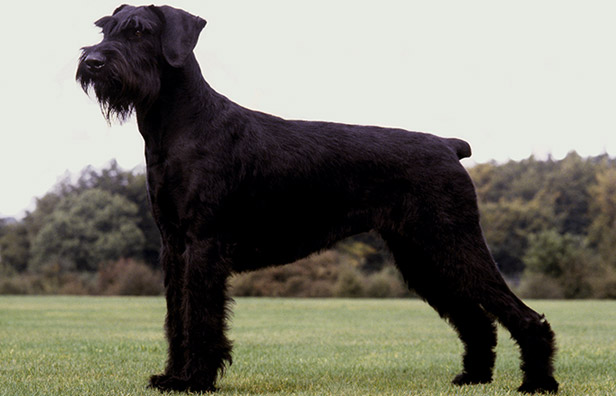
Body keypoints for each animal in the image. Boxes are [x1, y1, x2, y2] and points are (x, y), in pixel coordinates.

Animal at [76, 3, 560, 392]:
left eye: (140, 31)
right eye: (106, 28)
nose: (94, 61)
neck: (179, 126)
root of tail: (447, 145)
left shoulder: (204, 244)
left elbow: (201, 317)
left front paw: (194, 380)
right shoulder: (174, 246)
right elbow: (176, 317)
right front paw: (173, 376)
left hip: (452, 241)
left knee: (521, 315)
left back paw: (538, 383)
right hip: (422, 255)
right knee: (477, 320)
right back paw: (473, 377)